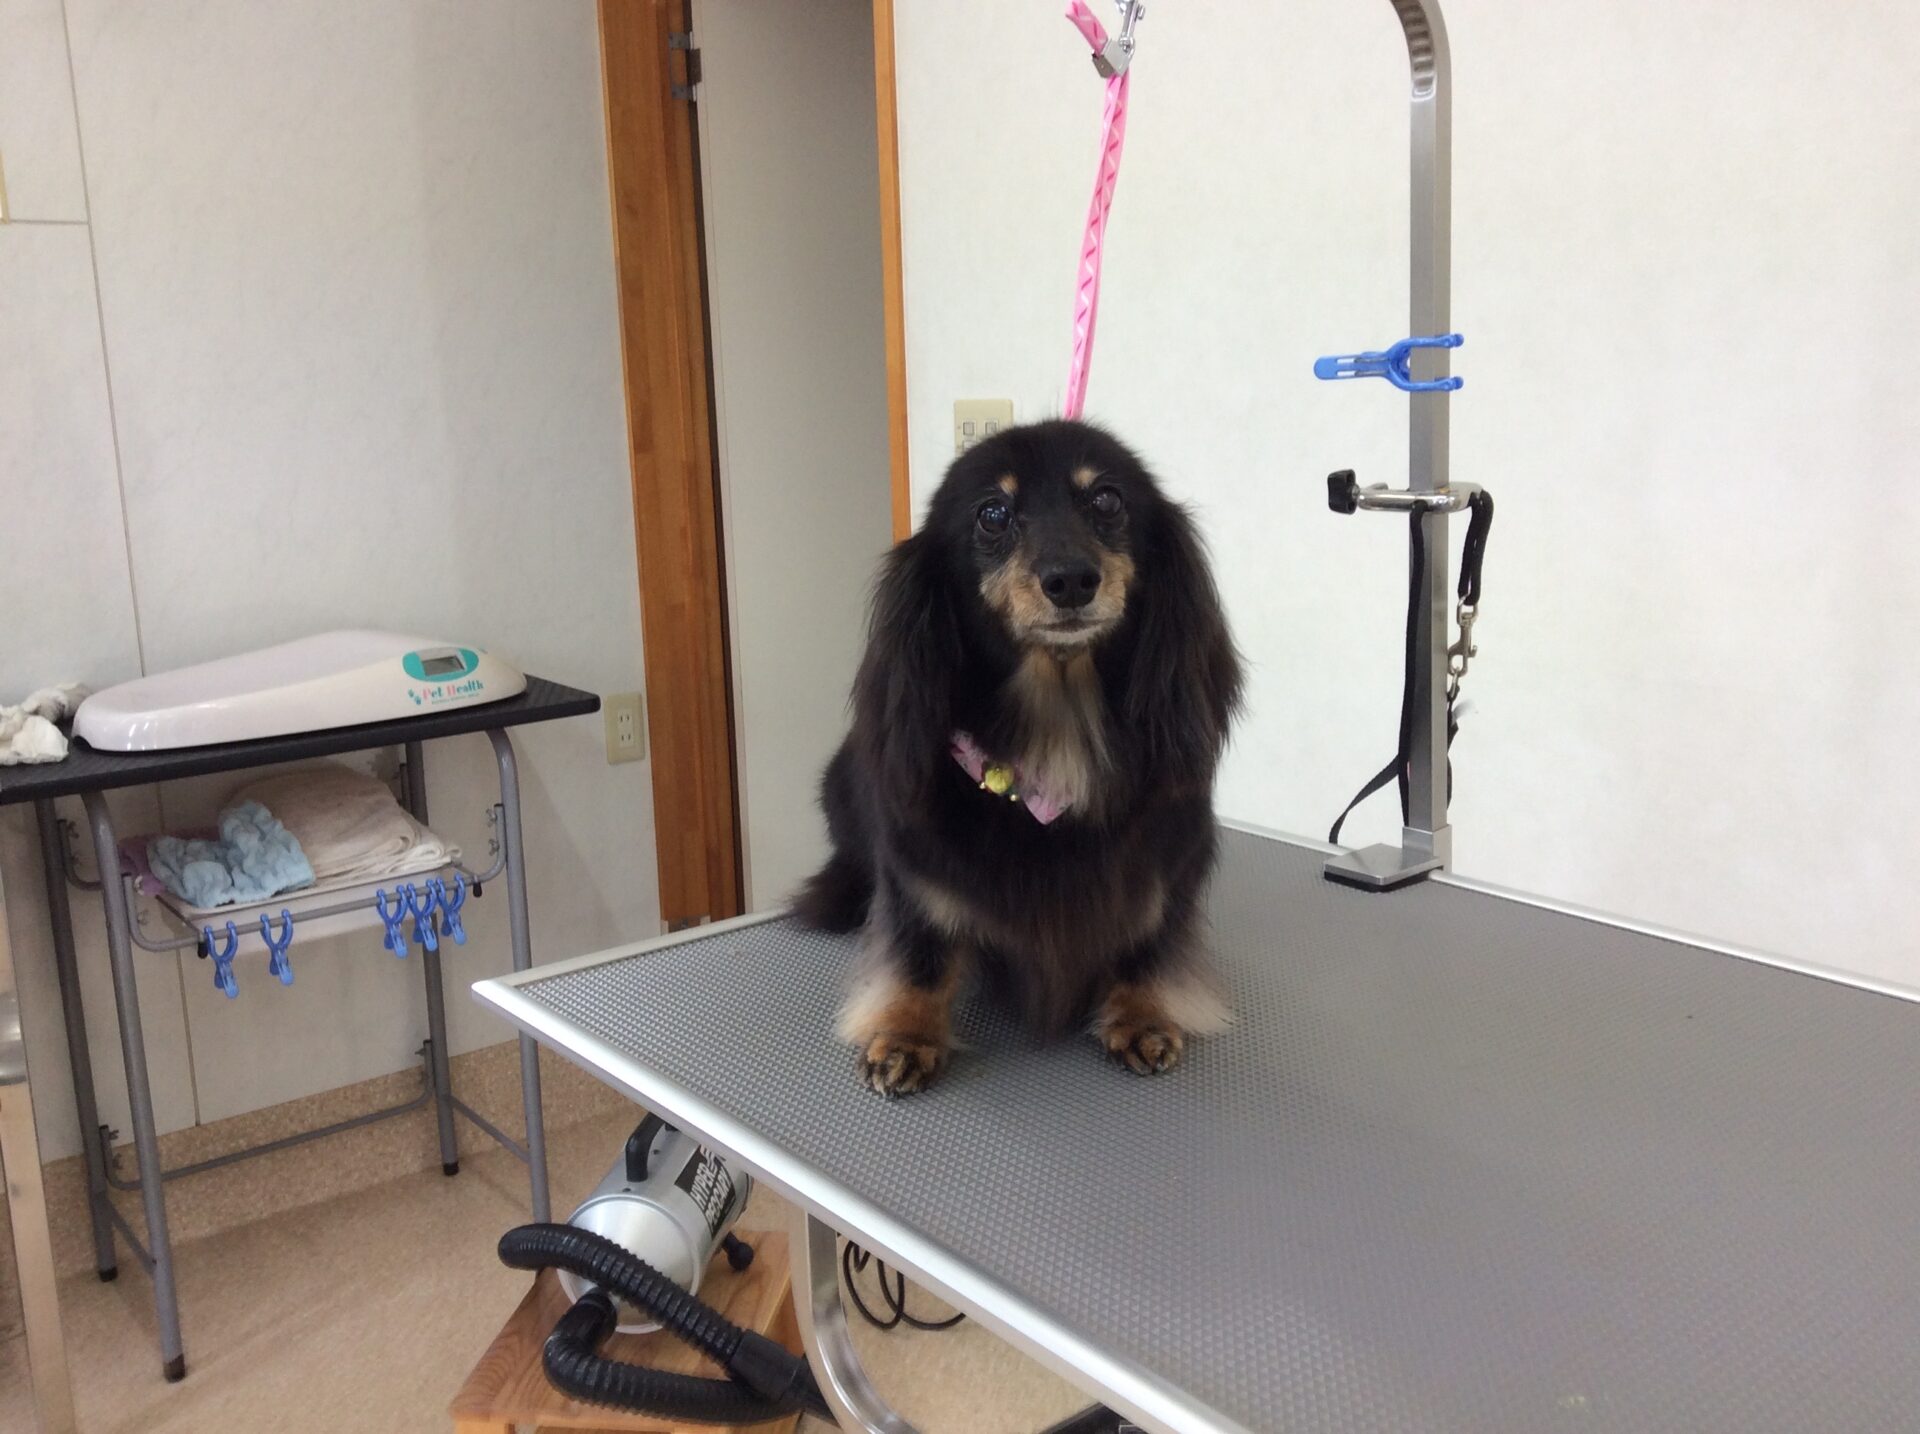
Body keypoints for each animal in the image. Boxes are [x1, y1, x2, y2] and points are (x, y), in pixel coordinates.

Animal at [795, 419, 1243, 1095]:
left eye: (1107, 500)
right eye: (993, 513)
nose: (1071, 580)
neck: (1058, 725)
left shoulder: (1168, 864)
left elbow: (1147, 943)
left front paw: (1141, 1013)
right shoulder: (917, 866)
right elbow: (921, 952)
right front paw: (905, 1033)